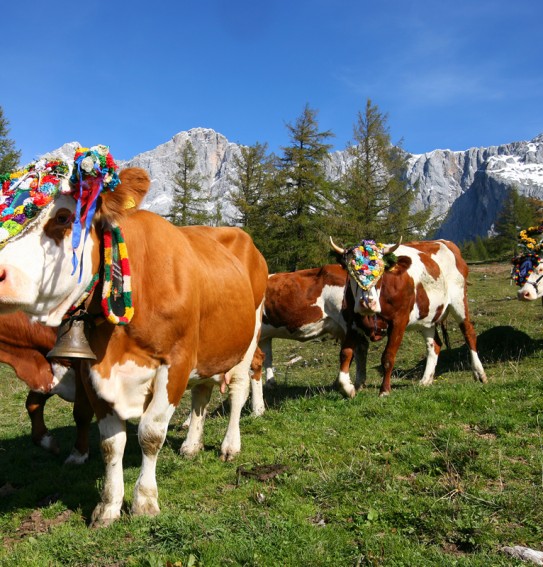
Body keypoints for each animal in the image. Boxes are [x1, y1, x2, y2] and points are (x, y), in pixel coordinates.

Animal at [0, 148, 266, 528]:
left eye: (64, 217)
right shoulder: (92, 369)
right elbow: (111, 443)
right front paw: (108, 507)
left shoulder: (176, 361)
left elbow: (151, 434)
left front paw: (144, 501)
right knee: (201, 392)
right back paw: (192, 445)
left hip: (248, 337)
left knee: (239, 388)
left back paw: (230, 446)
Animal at [260, 264, 366, 392]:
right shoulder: (265, 336)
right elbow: (267, 358)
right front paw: (270, 384)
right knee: (360, 348)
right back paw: (355, 384)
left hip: (349, 322)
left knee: (355, 350)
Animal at [332, 237, 488, 398]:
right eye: (351, 273)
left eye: (381, 272)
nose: (367, 303)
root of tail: (445, 242)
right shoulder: (351, 322)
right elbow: (345, 353)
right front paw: (347, 388)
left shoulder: (398, 322)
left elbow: (388, 357)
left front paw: (384, 390)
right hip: (427, 317)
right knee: (434, 345)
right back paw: (425, 380)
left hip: (459, 301)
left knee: (469, 333)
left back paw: (479, 373)